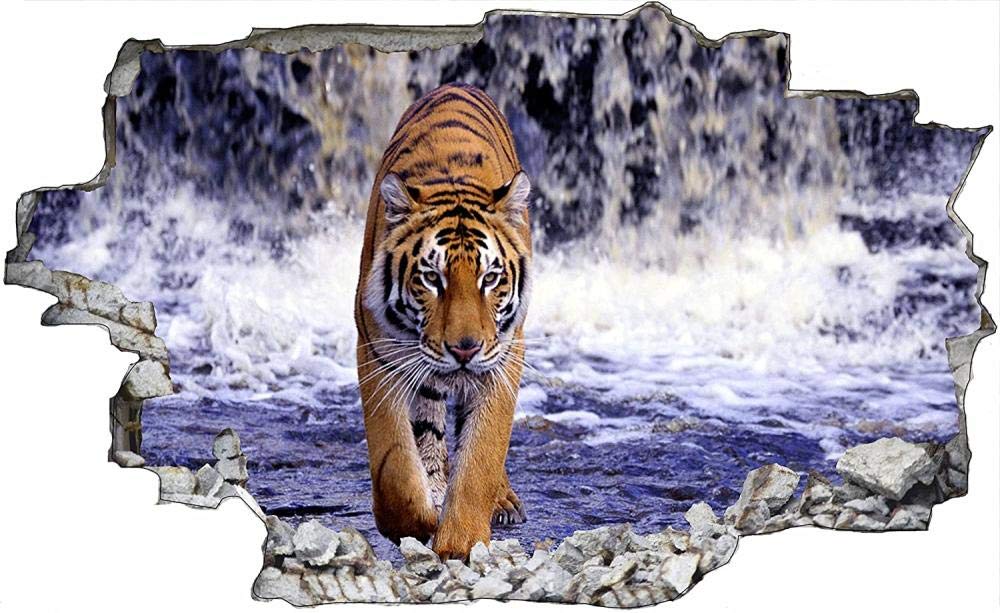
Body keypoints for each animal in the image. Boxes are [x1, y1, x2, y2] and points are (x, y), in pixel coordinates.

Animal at [354, 83, 533, 560]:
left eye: (490, 278)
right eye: (432, 278)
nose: (464, 349)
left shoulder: (504, 357)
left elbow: (483, 452)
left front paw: (462, 542)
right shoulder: (378, 353)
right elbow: (394, 460)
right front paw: (414, 522)